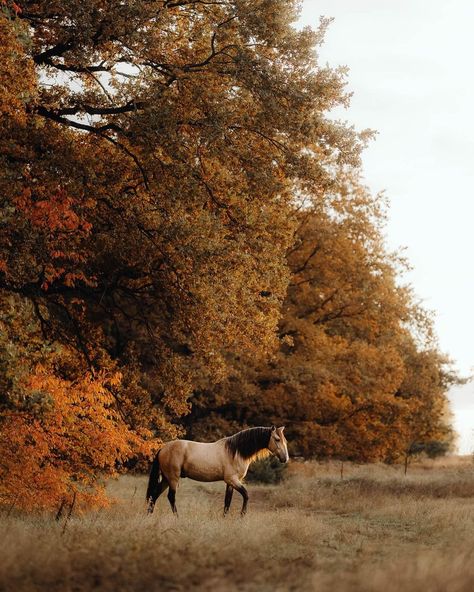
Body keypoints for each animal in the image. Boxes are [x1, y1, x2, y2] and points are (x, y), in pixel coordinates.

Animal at [146, 424, 288, 516]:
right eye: (277, 439)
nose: (285, 458)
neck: (236, 452)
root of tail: (163, 448)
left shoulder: (230, 482)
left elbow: (227, 501)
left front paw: (224, 518)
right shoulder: (232, 480)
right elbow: (246, 495)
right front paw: (242, 515)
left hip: (166, 479)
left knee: (154, 495)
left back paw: (149, 515)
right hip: (173, 478)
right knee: (171, 497)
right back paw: (177, 517)